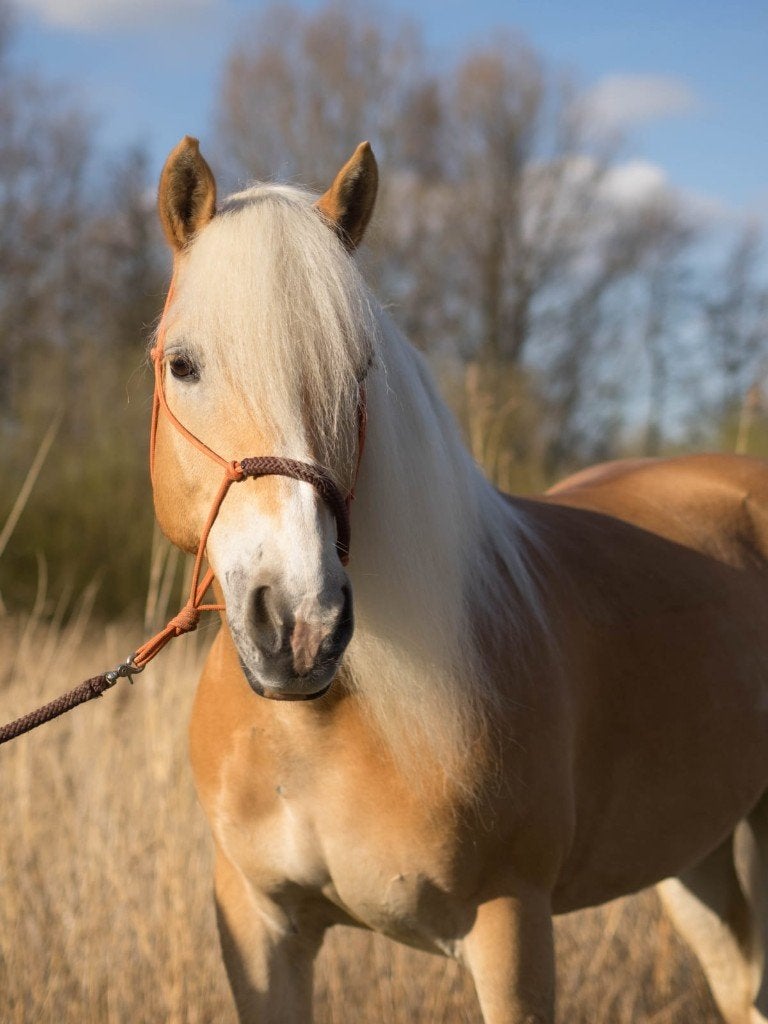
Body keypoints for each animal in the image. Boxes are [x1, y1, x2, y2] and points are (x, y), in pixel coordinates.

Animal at [151, 135, 768, 1024]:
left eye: (360, 370)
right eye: (184, 364)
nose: (299, 626)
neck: (320, 728)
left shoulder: (510, 930)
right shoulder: (260, 924)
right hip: (697, 852)